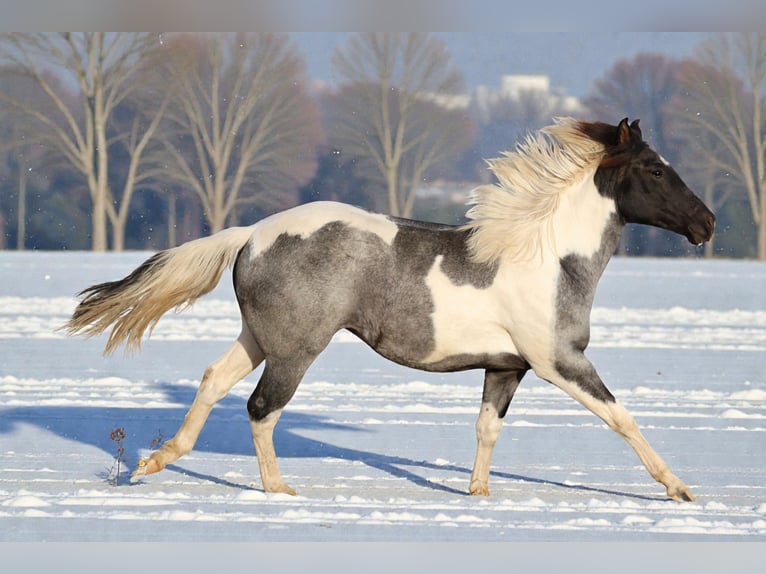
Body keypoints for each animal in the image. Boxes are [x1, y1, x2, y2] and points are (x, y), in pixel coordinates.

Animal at [66, 118, 715, 501]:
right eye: (654, 169)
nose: (706, 223)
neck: (550, 257)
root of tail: (251, 234)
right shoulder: (559, 361)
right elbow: (621, 417)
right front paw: (680, 489)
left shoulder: (506, 367)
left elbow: (486, 430)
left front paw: (479, 497)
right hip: (296, 349)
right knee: (261, 409)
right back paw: (279, 493)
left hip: (259, 337)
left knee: (212, 381)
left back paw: (156, 463)